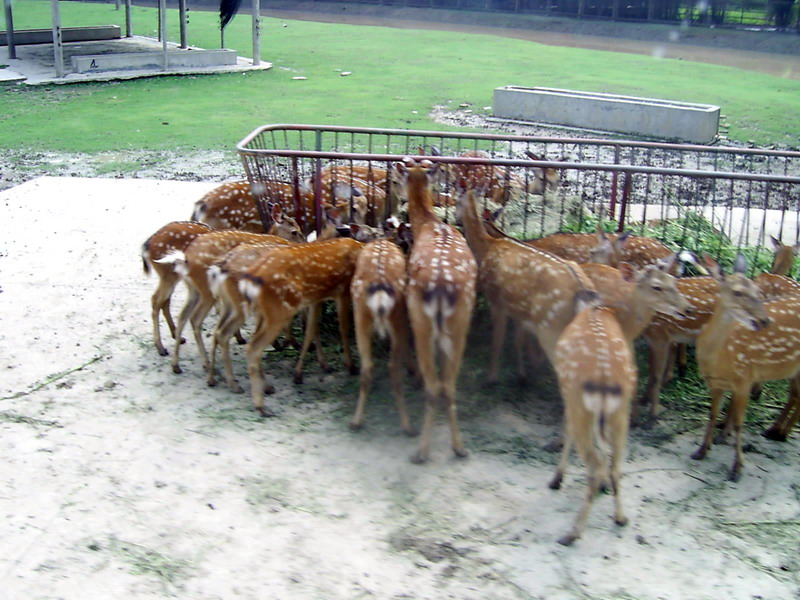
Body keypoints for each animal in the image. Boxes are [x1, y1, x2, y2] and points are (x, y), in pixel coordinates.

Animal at [238, 237, 364, 417]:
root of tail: (249, 281)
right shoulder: (343, 290)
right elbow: (344, 329)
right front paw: (351, 366)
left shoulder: (317, 298)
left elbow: (311, 330)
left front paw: (301, 373)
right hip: (279, 311)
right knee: (253, 348)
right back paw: (261, 406)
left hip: (262, 312)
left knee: (254, 345)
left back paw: (267, 388)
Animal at [397, 158, 478, 464]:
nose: (400, 198)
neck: (429, 224)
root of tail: (441, 288)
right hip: (459, 323)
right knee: (448, 386)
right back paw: (457, 447)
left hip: (422, 320)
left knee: (436, 386)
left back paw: (422, 451)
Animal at [692, 253, 800, 481]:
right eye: (737, 292)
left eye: (757, 291)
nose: (764, 320)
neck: (718, 358)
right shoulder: (715, 383)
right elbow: (712, 415)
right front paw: (701, 450)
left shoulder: (744, 379)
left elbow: (740, 423)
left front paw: (737, 468)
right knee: (796, 395)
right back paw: (775, 431)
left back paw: (780, 433)